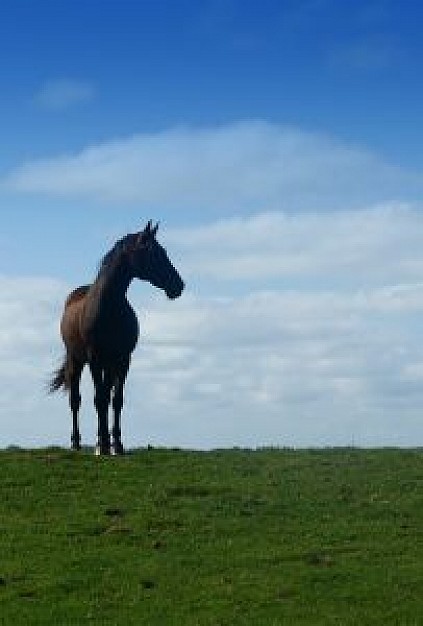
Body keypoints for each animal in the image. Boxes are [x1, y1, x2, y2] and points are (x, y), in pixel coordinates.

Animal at [49, 219, 184, 454]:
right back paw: (76, 442)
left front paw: (117, 444)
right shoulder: (94, 358)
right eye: (154, 252)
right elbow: (99, 400)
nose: (179, 285)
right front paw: (102, 446)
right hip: (77, 361)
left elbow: (116, 400)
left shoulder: (123, 359)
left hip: (109, 365)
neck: (109, 307)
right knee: (76, 400)